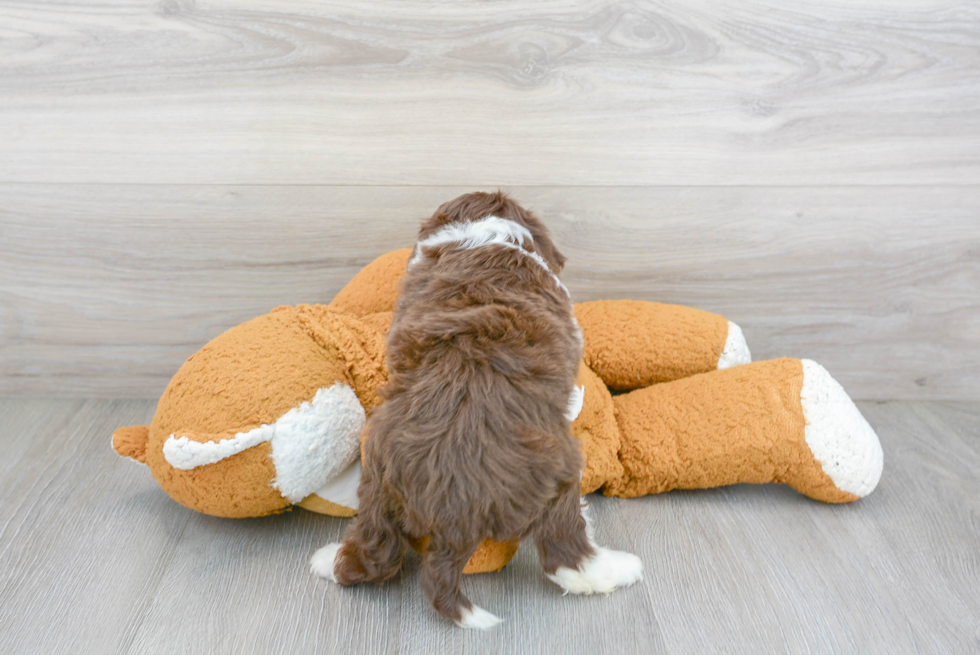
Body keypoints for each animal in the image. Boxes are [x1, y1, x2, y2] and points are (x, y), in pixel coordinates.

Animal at [308, 191, 644, 632]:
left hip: (377, 481)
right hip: (560, 473)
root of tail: (455, 506)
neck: (484, 238)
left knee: (372, 553)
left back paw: (325, 560)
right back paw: (618, 568)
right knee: (564, 554)